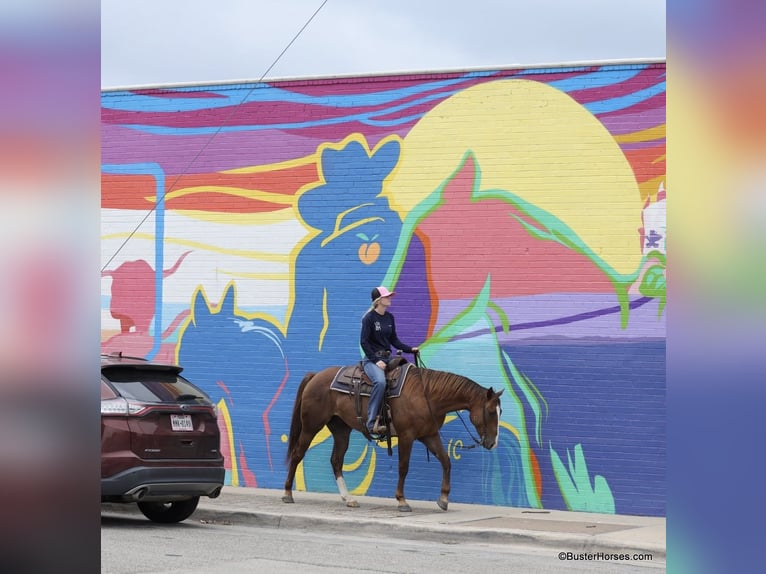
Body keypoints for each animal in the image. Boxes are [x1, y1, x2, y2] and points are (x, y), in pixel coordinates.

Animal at [282, 364, 504, 512]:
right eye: (490, 412)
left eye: (500, 412)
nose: (492, 443)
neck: (427, 395)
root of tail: (315, 376)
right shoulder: (407, 436)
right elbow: (403, 467)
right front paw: (402, 500)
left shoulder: (429, 435)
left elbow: (446, 461)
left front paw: (443, 499)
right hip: (311, 426)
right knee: (297, 454)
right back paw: (287, 494)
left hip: (341, 430)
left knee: (336, 461)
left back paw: (348, 498)